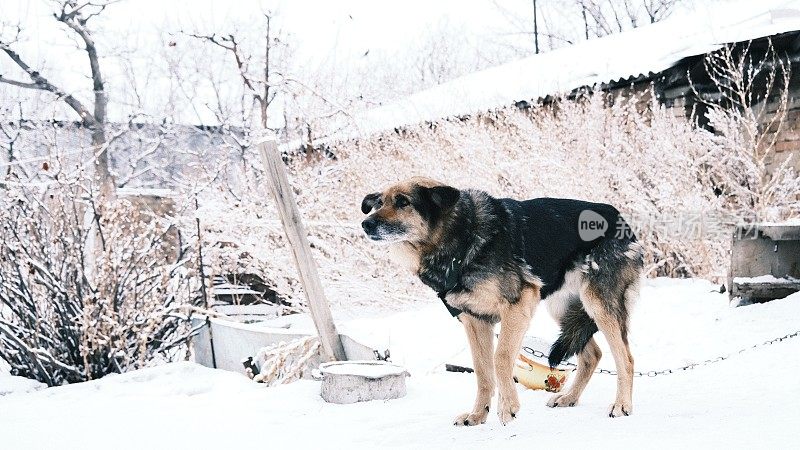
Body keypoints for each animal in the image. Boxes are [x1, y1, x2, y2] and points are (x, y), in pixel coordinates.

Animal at [362, 177, 644, 426]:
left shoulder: (518, 306)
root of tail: (619, 218)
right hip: (563, 308)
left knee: (626, 359)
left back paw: (622, 405)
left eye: (403, 202)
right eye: (379, 203)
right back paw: (569, 398)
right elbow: (482, 371)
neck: (461, 238)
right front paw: (477, 415)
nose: (365, 224)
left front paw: (508, 407)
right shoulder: (475, 321)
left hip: (599, 305)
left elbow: (501, 358)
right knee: (592, 355)